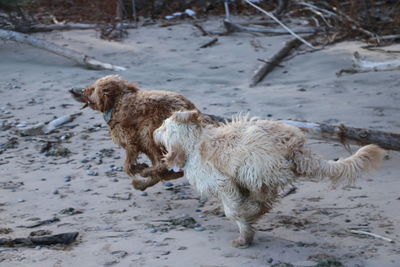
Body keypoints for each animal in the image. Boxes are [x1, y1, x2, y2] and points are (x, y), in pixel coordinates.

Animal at [70, 75, 214, 191]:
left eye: (92, 89)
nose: (79, 90)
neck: (116, 102)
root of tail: (193, 112)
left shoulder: (131, 140)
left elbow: (128, 165)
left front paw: (138, 168)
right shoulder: (139, 145)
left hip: (148, 131)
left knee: (162, 164)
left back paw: (146, 173)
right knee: (165, 166)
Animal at [154, 111, 384, 249]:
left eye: (163, 126)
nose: (155, 131)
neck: (194, 143)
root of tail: (296, 149)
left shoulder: (223, 183)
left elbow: (233, 210)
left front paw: (245, 230)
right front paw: (248, 226)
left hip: (254, 167)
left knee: (261, 196)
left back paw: (255, 208)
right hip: (261, 174)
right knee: (264, 196)